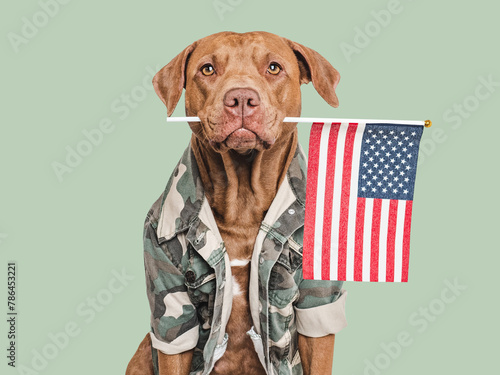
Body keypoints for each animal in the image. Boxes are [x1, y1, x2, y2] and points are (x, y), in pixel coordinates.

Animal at [128, 33, 348, 375]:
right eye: (207, 69)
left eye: (274, 67)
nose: (241, 98)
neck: (243, 198)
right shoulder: (172, 311)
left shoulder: (318, 304)